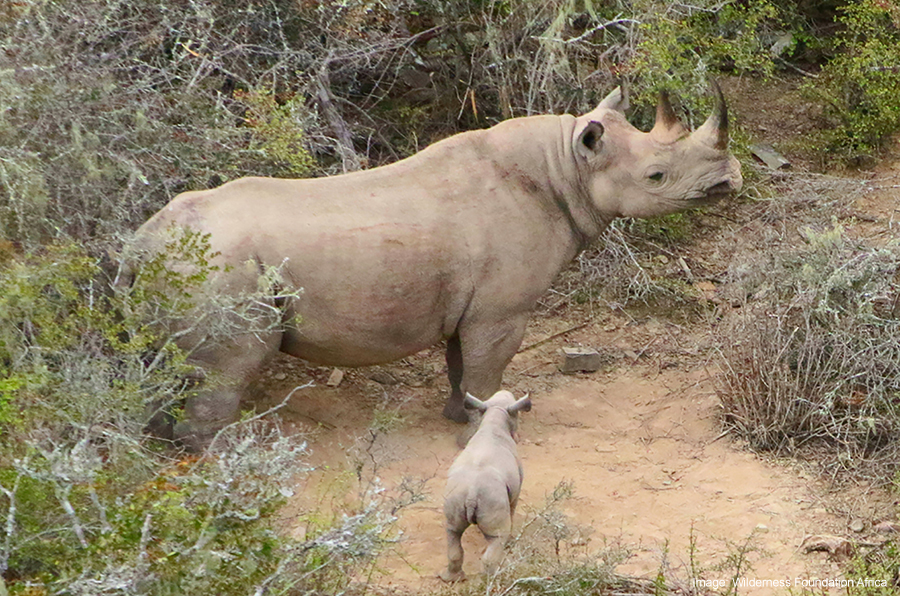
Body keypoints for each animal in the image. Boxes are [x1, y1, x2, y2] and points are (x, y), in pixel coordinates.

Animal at [130, 84, 740, 448]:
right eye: (657, 176)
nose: (730, 179)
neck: (567, 165)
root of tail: (141, 243)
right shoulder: (501, 310)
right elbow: (486, 369)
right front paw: (487, 433)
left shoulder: (471, 303)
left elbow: (458, 364)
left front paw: (455, 417)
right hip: (221, 273)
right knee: (230, 368)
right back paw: (228, 458)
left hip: (183, 269)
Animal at [440, 388, 532, 580]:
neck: (496, 415)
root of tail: (471, 495)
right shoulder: (516, 488)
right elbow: (512, 510)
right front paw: (510, 541)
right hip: (491, 496)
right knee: (497, 536)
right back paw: (494, 578)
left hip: (456, 495)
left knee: (453, 531)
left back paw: (450, 579)